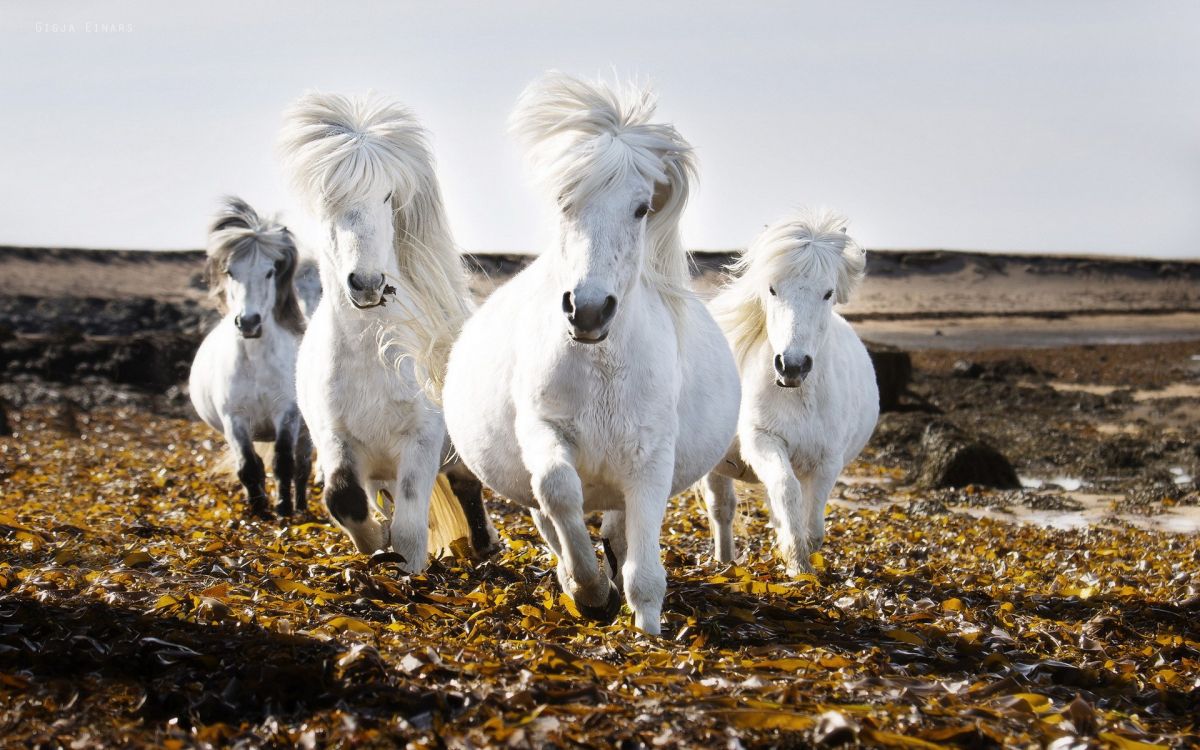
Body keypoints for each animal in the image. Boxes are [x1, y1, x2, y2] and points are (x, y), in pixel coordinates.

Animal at [189, 196, 313, 518]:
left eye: (270, 272)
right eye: (231, 271)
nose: (248, 322)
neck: (256, 362)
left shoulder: (287, 414)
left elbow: (283, 463)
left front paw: (283, 509)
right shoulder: (234, 419)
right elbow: (248, 466)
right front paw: (258, 511)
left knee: (303, 466)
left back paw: (301, 506)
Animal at [278, 91, 498, 571]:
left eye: (386, 196)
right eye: (328, 199)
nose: (366, 283)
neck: (373, 357)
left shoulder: (421, 440)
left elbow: (412, 528)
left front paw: (408, 572)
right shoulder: (336, 440)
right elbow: (344, 500)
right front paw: (375, 547)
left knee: (466, 486)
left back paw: (484, 544)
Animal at [442, 72, 741, 635]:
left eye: (642, 208)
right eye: (564, 200)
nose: (588, 310)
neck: (603, 371)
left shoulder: (651, 457)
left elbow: (644, 571)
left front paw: (646, 630)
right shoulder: (544, 432)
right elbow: (558, 491)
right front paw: (589, 592)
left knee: (618, 530)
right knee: (550, 516)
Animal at [702, 208, 879, 575]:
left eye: (827, 293)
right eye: (772, 289)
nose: (792, 366)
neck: (800, 397)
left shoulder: (827, 460)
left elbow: (813, 521)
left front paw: (804, 560)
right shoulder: (764, 441)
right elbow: (786, 490)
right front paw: (796, 562)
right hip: (716, 465)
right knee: (722, 509)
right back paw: (725, 564)